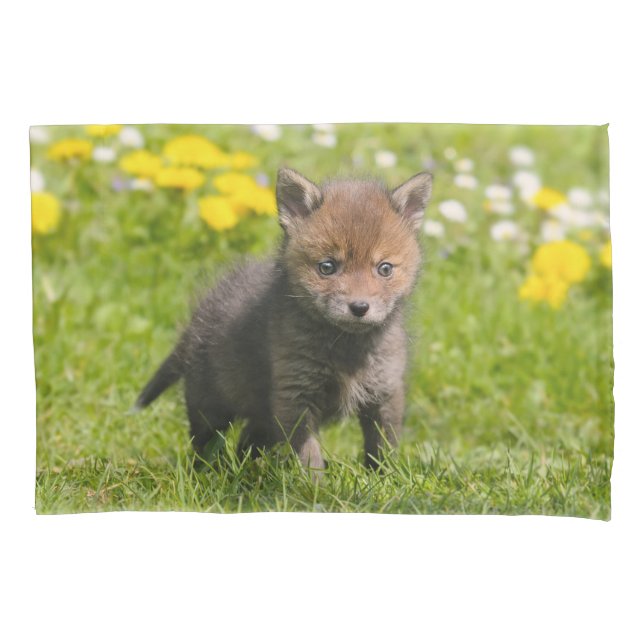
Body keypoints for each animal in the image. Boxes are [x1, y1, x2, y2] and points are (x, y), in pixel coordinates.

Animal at [134, 167, 433, 472]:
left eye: (384, 268)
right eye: (327, 267)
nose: (359, 307)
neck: (346, 350)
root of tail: (197, 319)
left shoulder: (384, 392)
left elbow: (382, 449)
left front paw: (382, 478)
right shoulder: (295, 395)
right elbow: (309, 455)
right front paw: (315, 484)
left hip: (261, 417)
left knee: (246, 442)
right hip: (210, 407)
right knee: (205, 445)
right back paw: (208, 473)